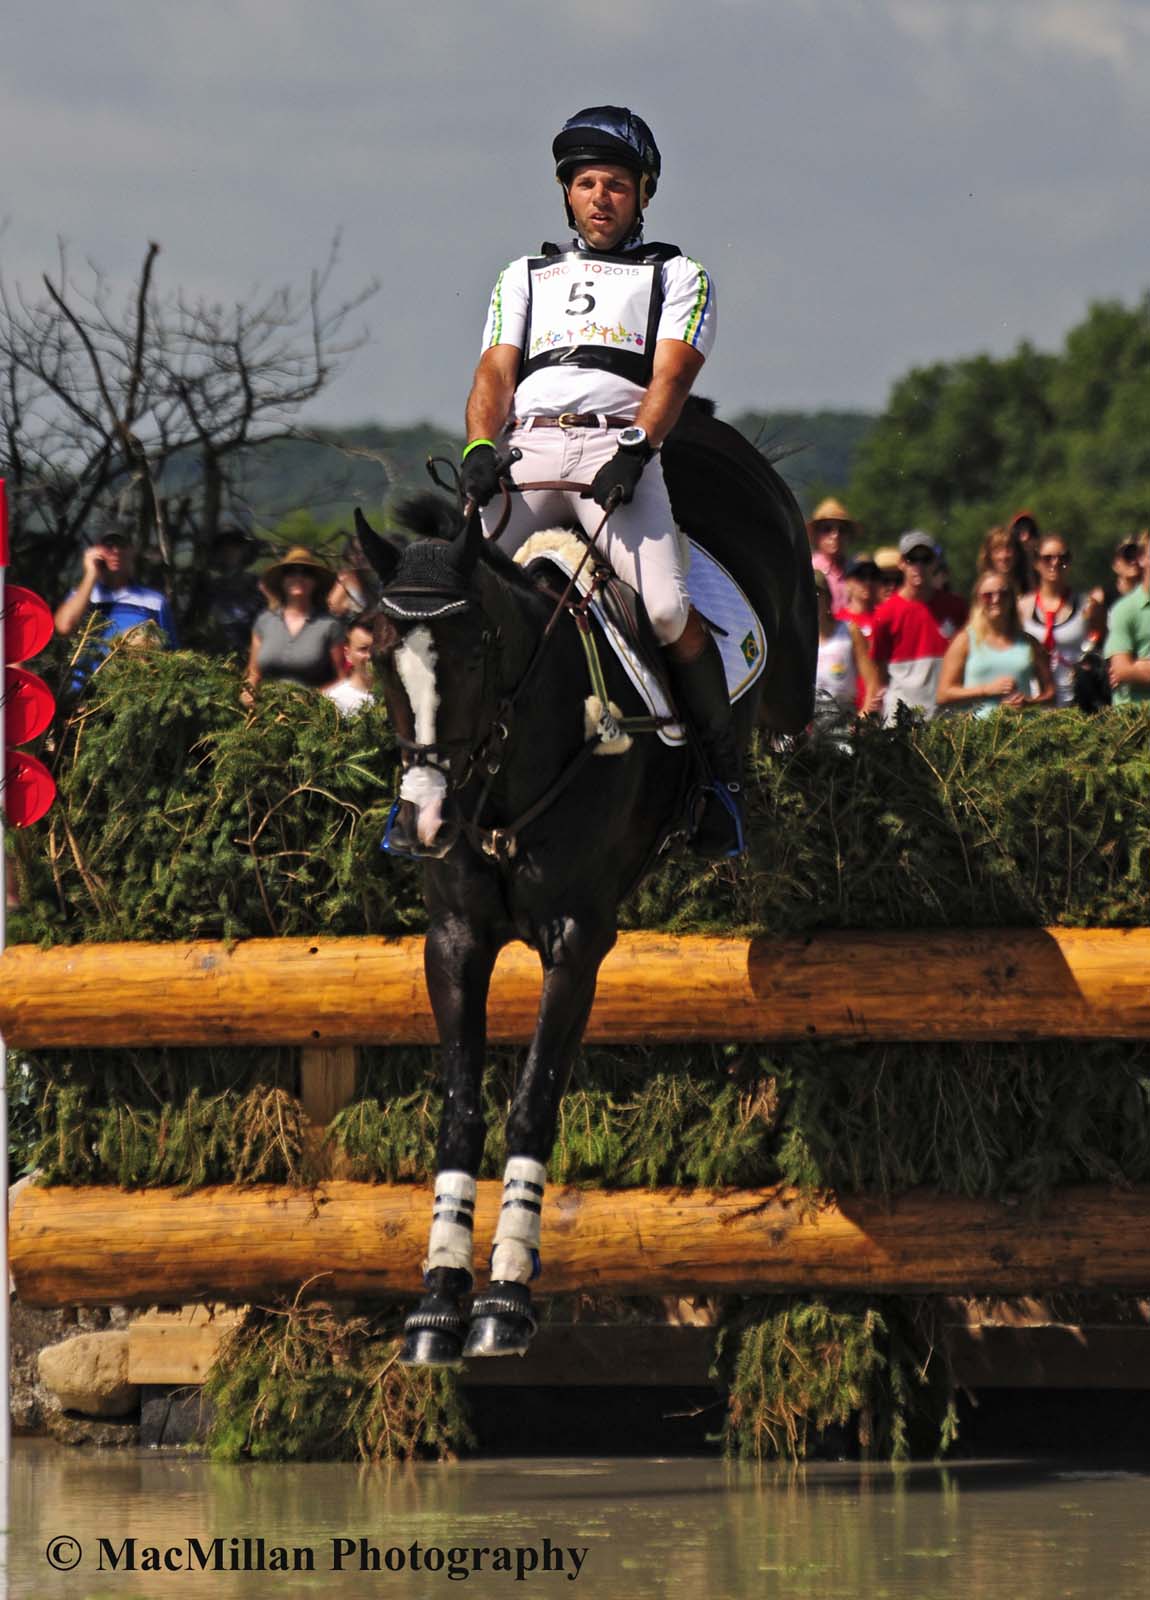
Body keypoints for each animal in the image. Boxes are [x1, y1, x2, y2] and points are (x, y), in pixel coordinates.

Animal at [355, 403, 815, 1363]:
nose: (424, 822)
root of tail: (711, 433)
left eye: (477, 649)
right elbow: (460, 1110)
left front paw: (504, 1300)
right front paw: (436, 1301)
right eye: (379, 659)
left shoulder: (576, 941)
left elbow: (532, 1104)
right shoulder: (456, 942)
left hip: (791, 672)